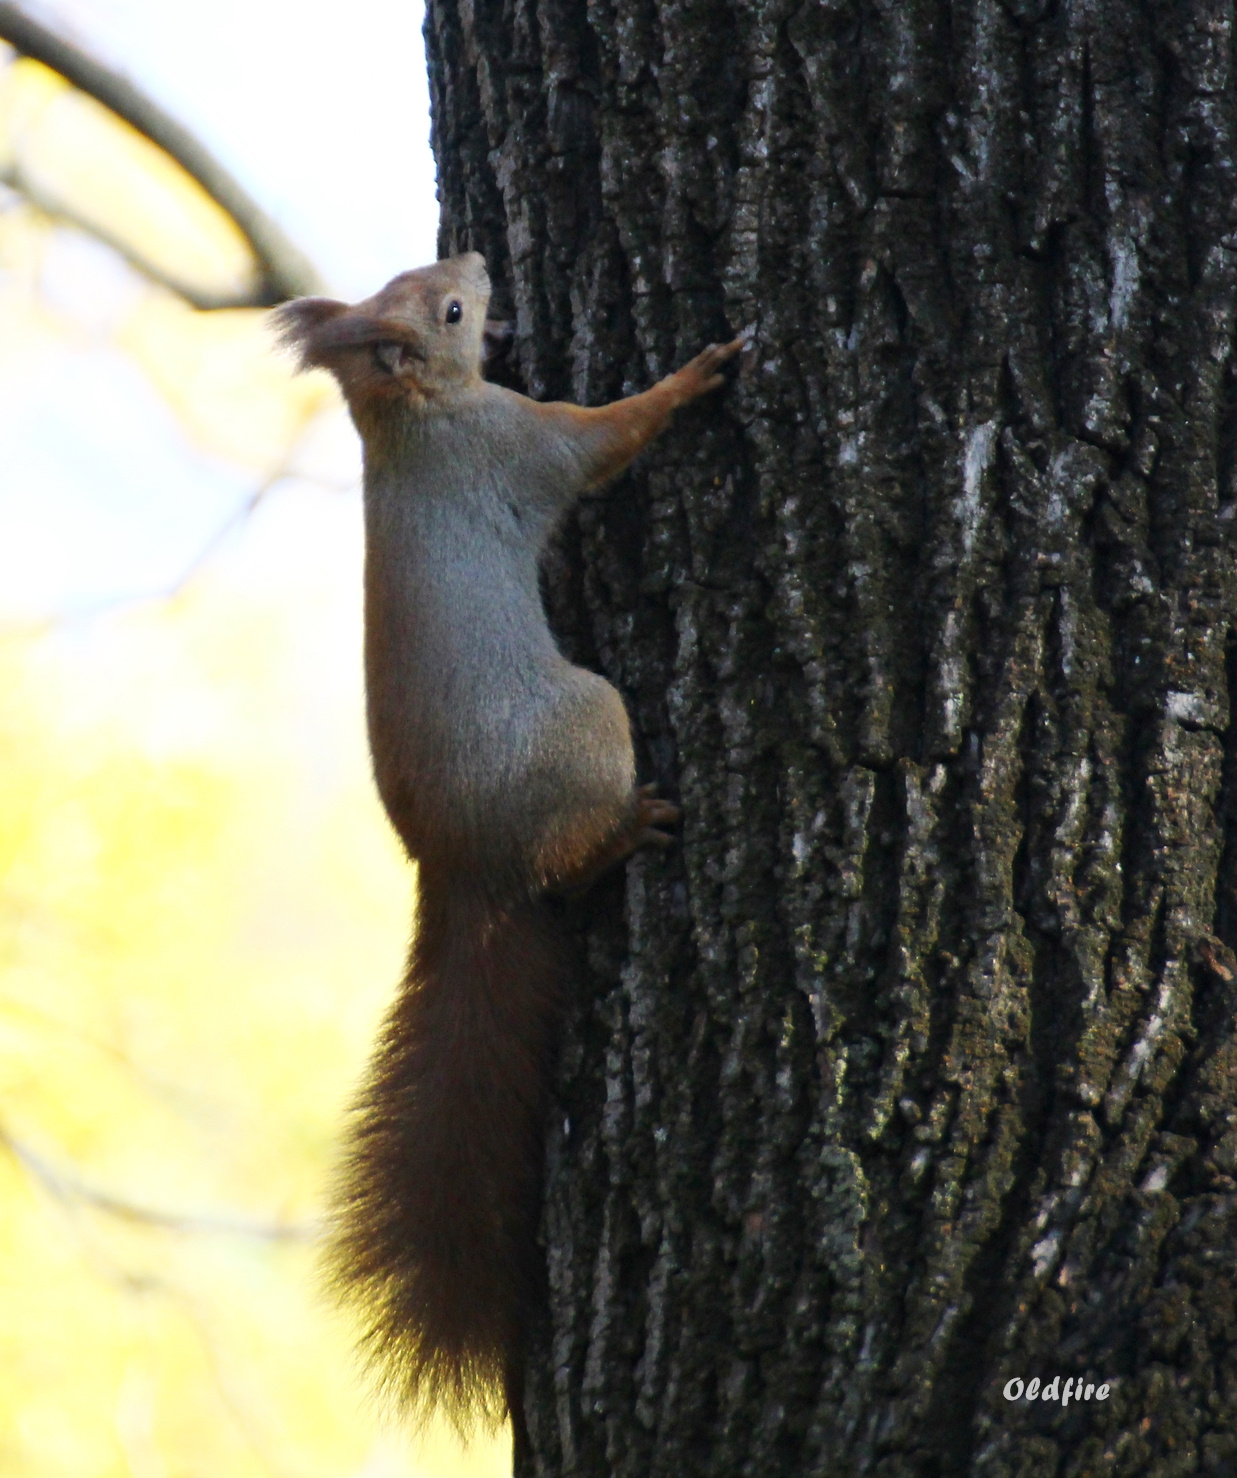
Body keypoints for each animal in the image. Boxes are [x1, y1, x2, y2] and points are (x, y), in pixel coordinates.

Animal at [274, 254, 738, 1430]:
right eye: (444, 310)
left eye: (418, 277)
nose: (479, 266)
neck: (409, 417)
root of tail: (463, 867)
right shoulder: (525, 443)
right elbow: (610, 436)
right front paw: (695, 376)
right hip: (591, 719)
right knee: (568, 865)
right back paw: (629, 830)